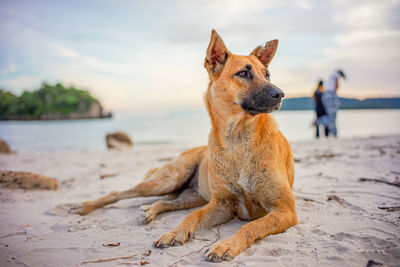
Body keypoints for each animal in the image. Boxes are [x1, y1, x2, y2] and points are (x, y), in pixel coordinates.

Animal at [70, 30, 296, 262]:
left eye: (267, 75)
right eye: (243, 73)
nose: (280, 94)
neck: (238, 138)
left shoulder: (284, 210)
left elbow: (250, 227)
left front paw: (226, 245)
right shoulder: (222, 204)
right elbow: (193, 216)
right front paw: (175, 232)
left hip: (192, 196)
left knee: (169, 202)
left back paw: (149, 211)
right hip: (167, 180)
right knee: (120, 192)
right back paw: (84, 206)